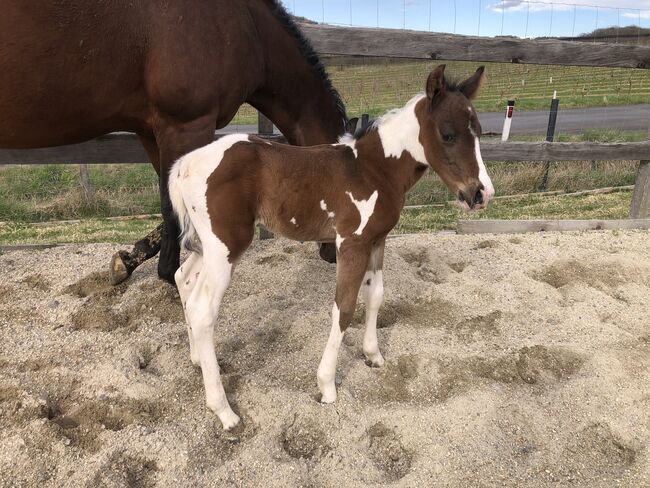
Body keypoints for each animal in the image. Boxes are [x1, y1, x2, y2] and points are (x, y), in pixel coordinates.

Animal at [0, 0, 344, 282]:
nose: (334, 253)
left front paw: (129, 260)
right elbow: (174, 203)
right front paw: (169, 273)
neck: (247, 26)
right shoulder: (187, 126)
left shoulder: (152, 131)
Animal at [167, 66, 492, 430]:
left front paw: (373, 355)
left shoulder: (377, 240)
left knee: (184, 279)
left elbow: (375, 295)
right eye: (448, 134)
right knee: (203, 309)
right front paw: (327, 386)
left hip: (210, 246)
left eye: (479, 132)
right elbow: (344, 308)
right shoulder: (351, 243)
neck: (374, 169)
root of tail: (184, 165)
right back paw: (224, 410)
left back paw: (198, 359)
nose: (481, 193)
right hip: (227, 245)